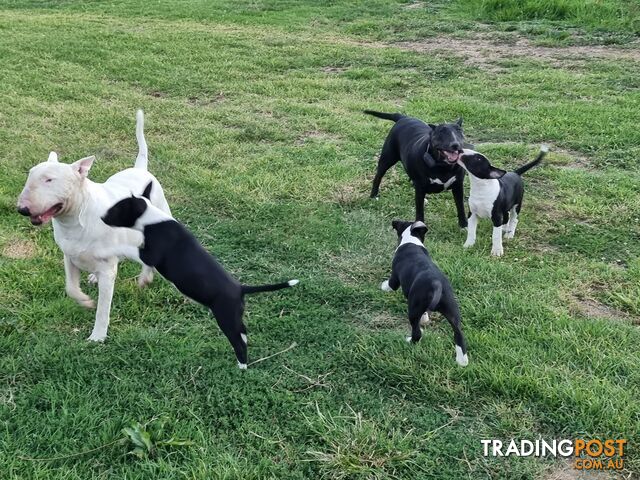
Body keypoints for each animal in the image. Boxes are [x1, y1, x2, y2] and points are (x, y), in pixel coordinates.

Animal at [17, 109, 171, 342]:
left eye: (50, 180)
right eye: (30, 174)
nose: (22, 209)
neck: (76, 219)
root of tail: (141, 170)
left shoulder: (108, 270)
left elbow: (103, 308)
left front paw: (97, 337)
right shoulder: (69, 255)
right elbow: (71, 287)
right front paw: (85, 300)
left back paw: (145, 277)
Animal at [382, 219, 468, 366]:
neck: (411, 239)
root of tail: (436, 284)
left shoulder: (394, 278)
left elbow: (390, 285)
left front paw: (382, 286)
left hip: (413, 309)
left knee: (417, 332)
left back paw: (409, 341)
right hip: (452, 310)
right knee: (459, 333)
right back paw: (462, 361)